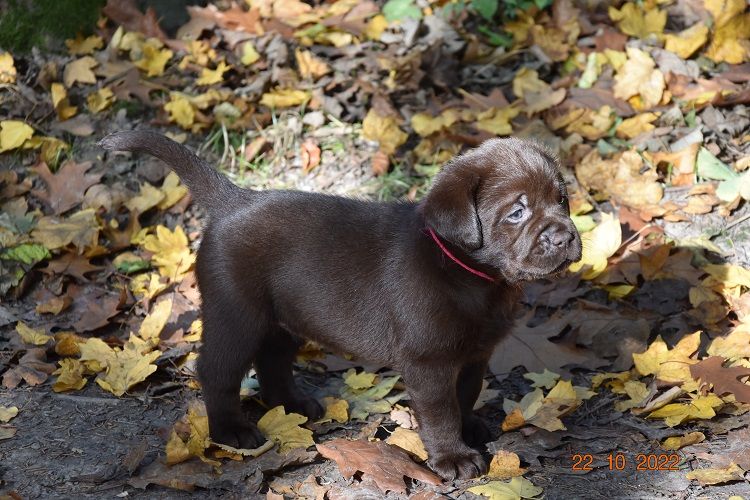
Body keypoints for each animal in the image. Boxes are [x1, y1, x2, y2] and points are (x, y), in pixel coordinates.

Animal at [99, 131, 582, 480]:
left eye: (562, 199)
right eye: (517, 212)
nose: (564, 236)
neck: (467, 273)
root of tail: (234, 200)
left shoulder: (474, 354)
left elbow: (465, 394)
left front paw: (471, 429)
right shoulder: (429, 361)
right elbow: (441, 410)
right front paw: (453, 457)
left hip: (283, 318)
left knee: (273, 360)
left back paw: (294, 405)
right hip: (236, 312)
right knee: (217, 370)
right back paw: (232, 432)